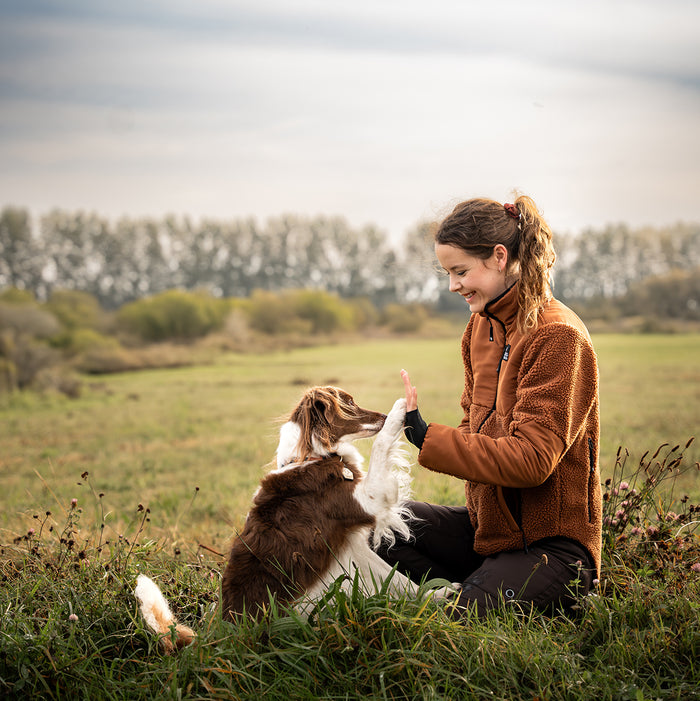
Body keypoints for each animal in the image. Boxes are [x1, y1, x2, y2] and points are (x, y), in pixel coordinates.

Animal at [137, 386, 416, 648]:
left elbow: (401, 582)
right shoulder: (370, 498)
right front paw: (402, 406)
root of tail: (217, 636)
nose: (383, 416)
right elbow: (382, 444)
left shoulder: (351, 546)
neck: (312, 456)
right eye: (348, 403)